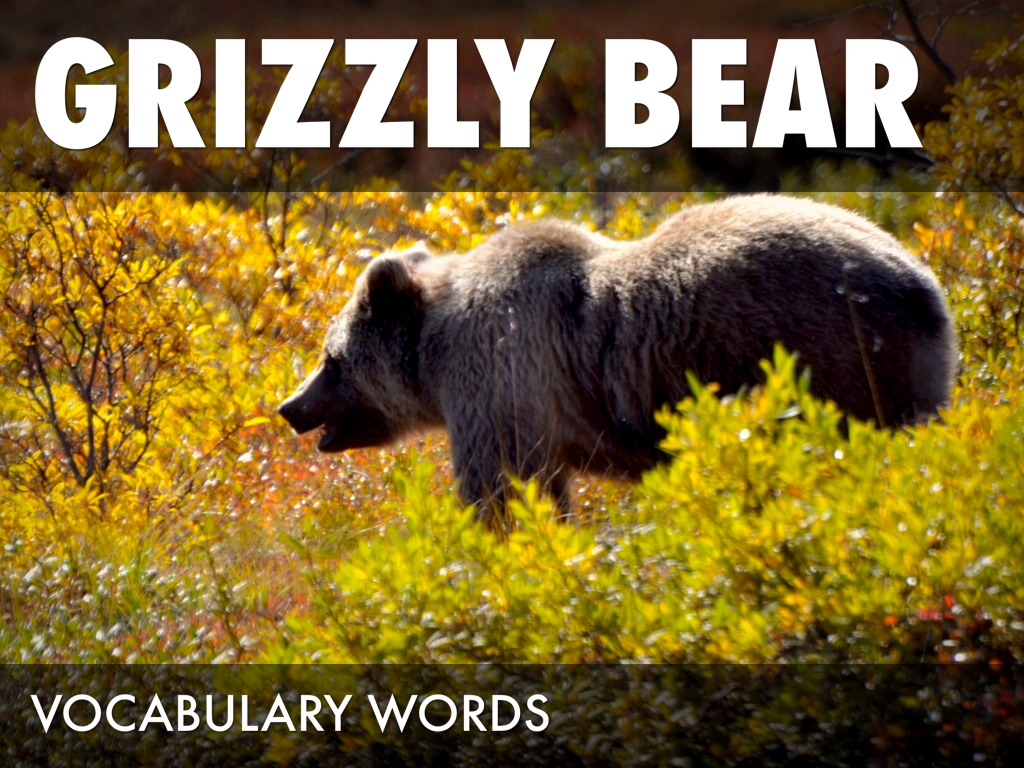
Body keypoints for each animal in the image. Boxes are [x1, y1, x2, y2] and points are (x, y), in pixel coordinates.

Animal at [277, 195, 956, 522]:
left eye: (330, 357)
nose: (289, 407)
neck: (434, 354)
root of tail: (922, 285)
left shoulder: (501, 378)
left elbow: (505, 488)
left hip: (827, 356)